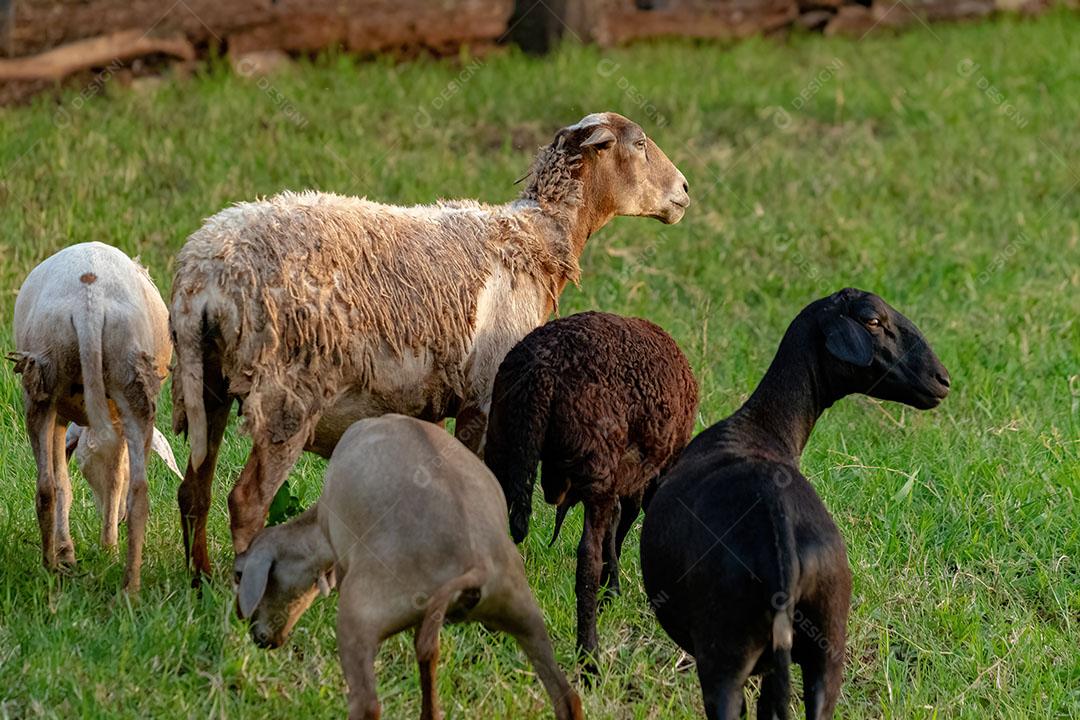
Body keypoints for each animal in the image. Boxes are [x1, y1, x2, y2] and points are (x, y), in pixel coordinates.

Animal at [9, 241, 177, 591]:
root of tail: (90, 298)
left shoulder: (62, 416)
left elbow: (76, 481)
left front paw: (75, 552)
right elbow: (94, 481)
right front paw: (92, 551)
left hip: (45, 380)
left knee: (48, 486)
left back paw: (52, 570)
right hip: (131, 382)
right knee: (137, 492)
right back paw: (129, 587)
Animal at [170, 111, 691, 578]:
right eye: (640, 143)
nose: (685, 190)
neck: (535, 237)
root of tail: (204, 277)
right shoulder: (484, 395)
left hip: (206, 381)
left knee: (194, 489)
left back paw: (201, 581)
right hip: (286, 394)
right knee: (246, 501)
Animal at [234, 416, 583, 720]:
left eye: (239, 576)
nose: (260, 638)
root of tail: (475, 565)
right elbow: (429, 657)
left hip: (362, 614)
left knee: (368, 705)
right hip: (521, 610)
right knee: (568, 698)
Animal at [483, 313, 699, 673]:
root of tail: (542, 372)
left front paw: (612, 591)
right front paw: (613, 591)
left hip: (503, 442)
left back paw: (492, 631)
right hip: (595, 459)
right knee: (587, 558)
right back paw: (589, 659)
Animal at [635, 289, 950, 720]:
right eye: (872, 320)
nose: (942, 380)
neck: (763, 428)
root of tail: (779, 539)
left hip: (724, 651)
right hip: (827, 644)